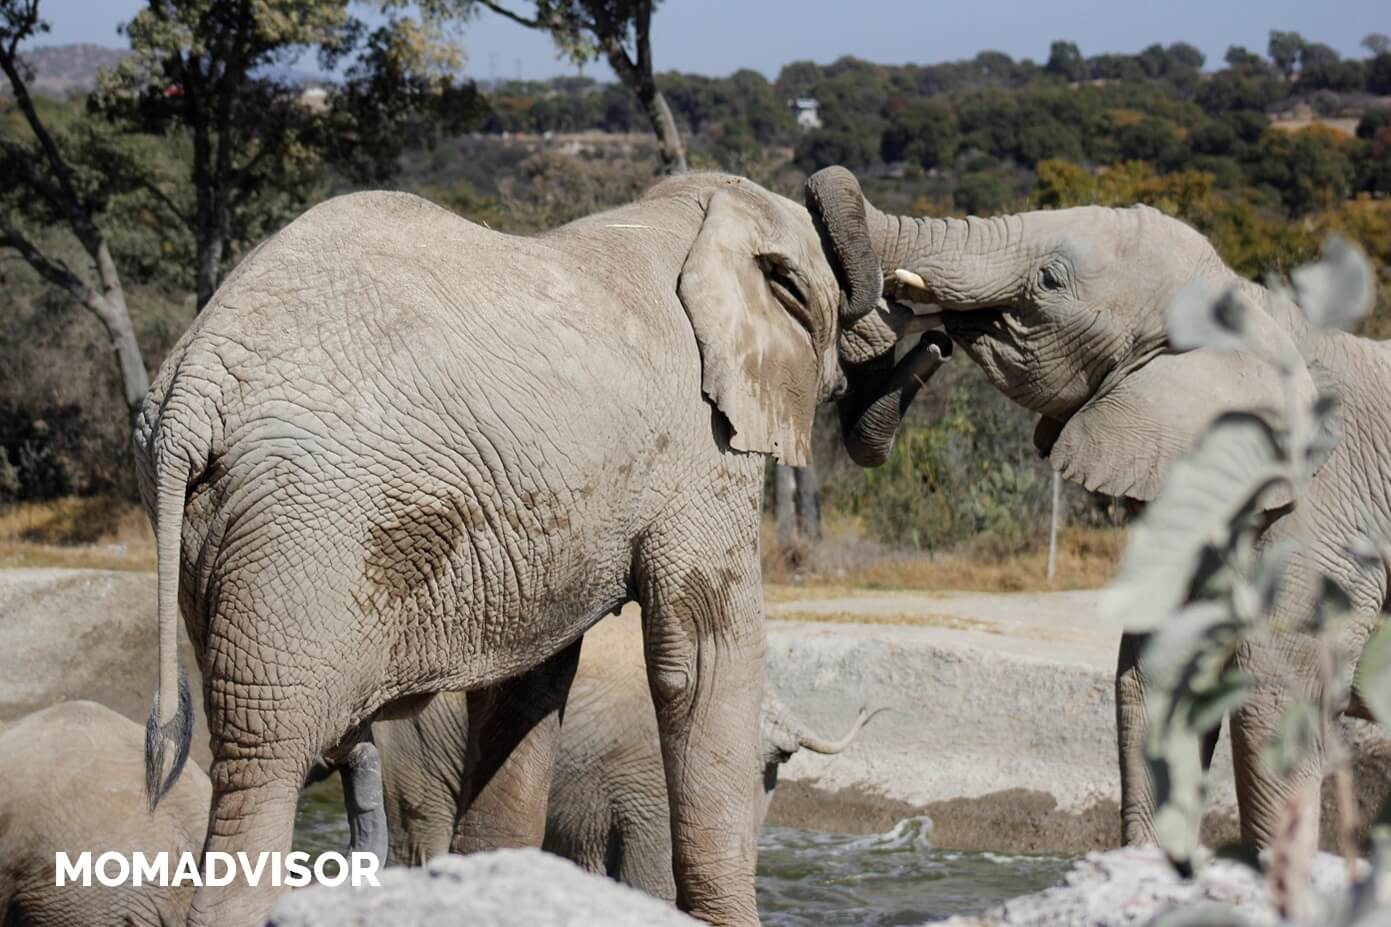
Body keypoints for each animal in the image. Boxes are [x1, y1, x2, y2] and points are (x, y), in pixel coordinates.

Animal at [805, 165, 1391, 853]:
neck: (1256, 309)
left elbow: (1272, 690)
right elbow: (1156, 675)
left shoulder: (1325, 520)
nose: (932, 343)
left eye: (1050, 281)